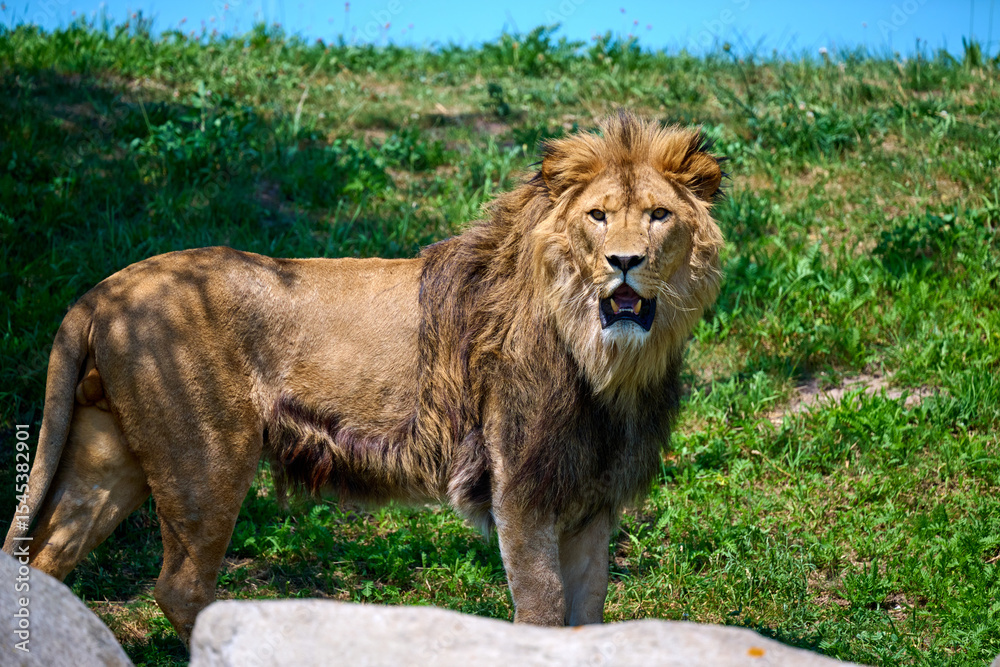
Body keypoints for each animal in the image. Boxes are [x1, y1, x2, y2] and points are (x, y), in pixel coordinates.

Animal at [3, 111, 724, 643]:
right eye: (597, 216)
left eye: (658, 215)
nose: (624, 262)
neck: (606, 362)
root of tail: (103, 290)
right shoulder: (521, 487)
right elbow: (543, 612)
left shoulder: (592, 496)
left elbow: (588, 615)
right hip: (206, 457)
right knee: (179, 586)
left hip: (110, 449)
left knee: (49, 556)